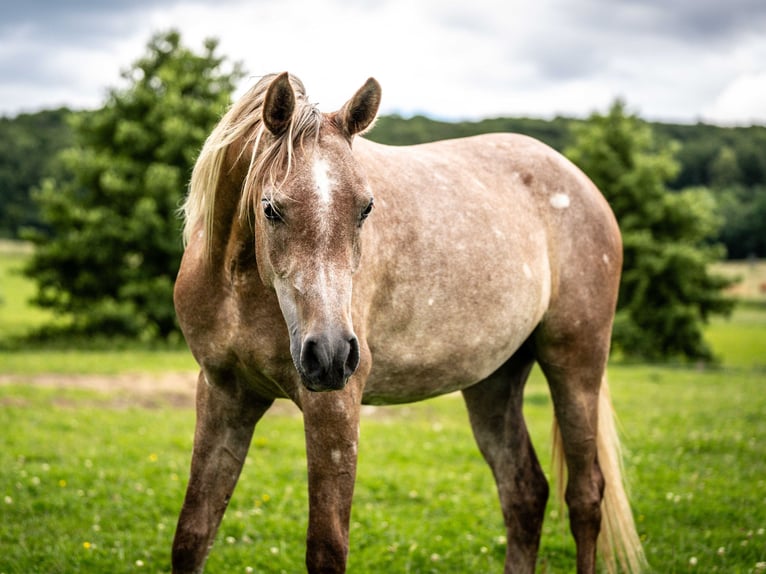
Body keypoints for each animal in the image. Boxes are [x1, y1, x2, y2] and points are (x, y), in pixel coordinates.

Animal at [171, 73, 644, 574]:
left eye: (365, 209)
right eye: (271, 209)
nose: (332, 354)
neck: (239, 286)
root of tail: (582, 183)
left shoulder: (333, 406)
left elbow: (326, 550)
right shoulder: (224, 395)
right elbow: (192, 537)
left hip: (575, 366)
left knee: (585, 496)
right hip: (493, 383)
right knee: (525, 494)